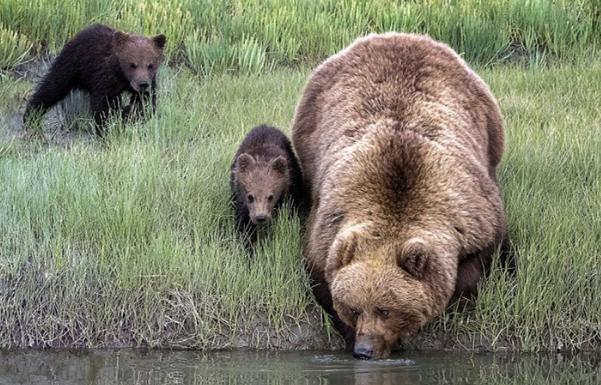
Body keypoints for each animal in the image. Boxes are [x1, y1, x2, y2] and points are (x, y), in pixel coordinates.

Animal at [23, 23, 165, 135]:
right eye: (132, 64)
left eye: (150, 65)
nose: (142, 84)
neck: (122, 77)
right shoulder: (105, 77)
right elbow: (102, 106)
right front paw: (107, 129)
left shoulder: (149, 84)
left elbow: (146, 105)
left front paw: (127, 113)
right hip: (72, 63)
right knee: (53, 87)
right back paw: (30, 116)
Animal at [292, 31, 508, 358]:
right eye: (355, 308)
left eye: (385, 309)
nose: (364, 350)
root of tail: (398, 35)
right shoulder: (327, 226)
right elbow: (323, 279)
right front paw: (347, 333)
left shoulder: (472, 213)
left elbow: (478, 261)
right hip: (308, 127)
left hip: (488, 122)